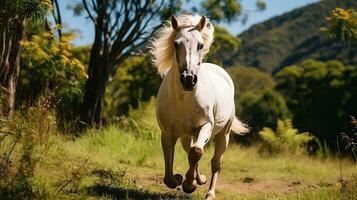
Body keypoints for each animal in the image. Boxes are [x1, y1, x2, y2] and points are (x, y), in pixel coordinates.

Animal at [149, 13, 246, 198]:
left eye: (200, 45)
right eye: (175, 44)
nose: (189, 79)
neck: (184, 100)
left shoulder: (206, 126)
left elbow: (197, 152)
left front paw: (189, 184)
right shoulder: (167, 133)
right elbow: (169, 173)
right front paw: (182, 179)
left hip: (223, 135)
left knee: (215, 162)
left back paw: (209, 193)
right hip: (187, 135)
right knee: (190, 150)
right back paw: (199, 179)